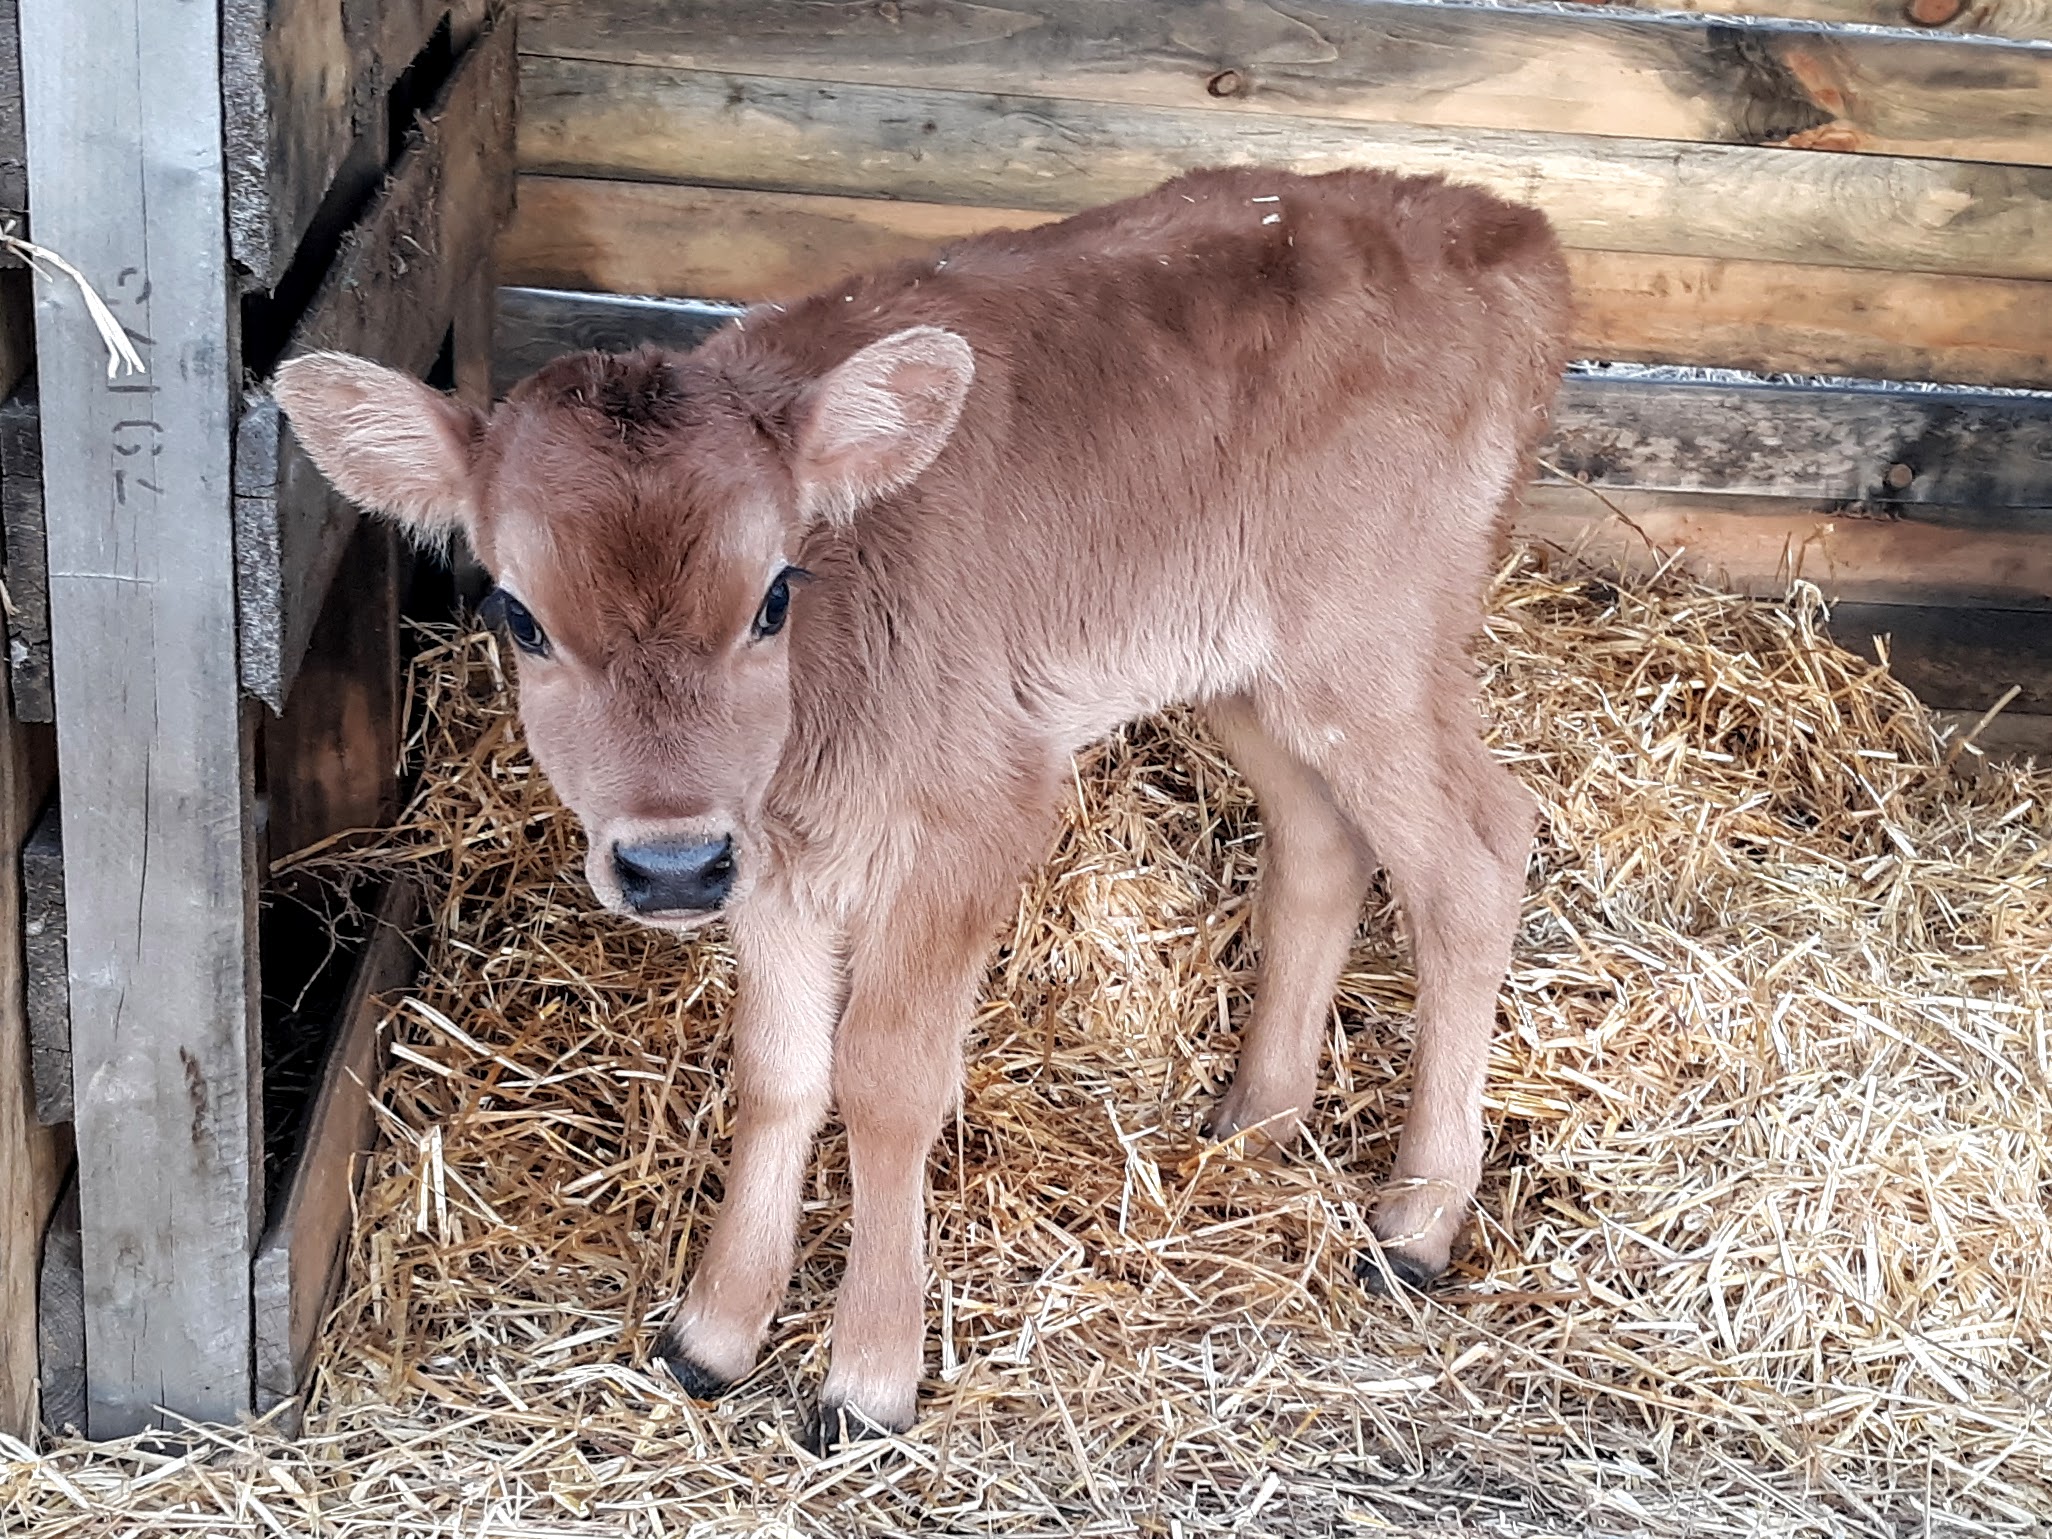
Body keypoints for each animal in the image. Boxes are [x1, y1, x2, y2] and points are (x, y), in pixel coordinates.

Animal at [272, 171, 1567, 1461]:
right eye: (518, 615)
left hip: (1375, 652)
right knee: (1323, 842)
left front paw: (867, 1377)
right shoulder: (768, 858)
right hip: (1249, 672)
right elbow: (778, 1068)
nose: (669, 866)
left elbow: (888, 1078)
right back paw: (1257, 1121)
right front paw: (715, 1332)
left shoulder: (975, 819)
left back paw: (1414, 1224)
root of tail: (1501, 229)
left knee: (1478, 853)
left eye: (774, 596)